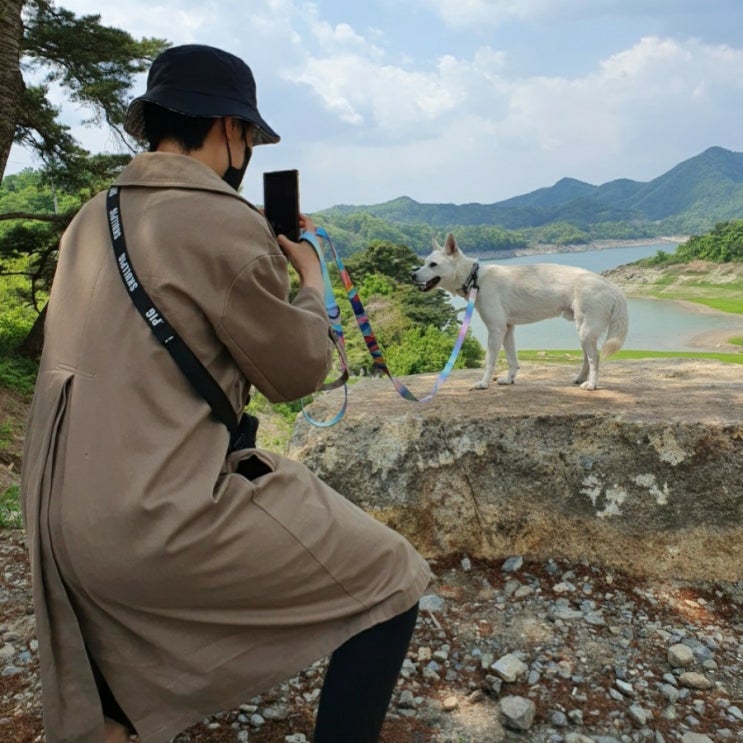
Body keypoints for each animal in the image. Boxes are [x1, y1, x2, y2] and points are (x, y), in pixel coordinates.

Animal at [412, 235, 628, 392]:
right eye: (424, 263)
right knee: (587, 359)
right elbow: (512, 359)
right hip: (583, 331)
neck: (474, 277)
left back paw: (592, 384)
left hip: (585, 330)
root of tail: (611, 285)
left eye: (433, 264)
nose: (412, 274)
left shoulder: (496, 330)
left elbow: (490, 361)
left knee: (595, 359)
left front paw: (484, 383)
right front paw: (509, 379)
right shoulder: (507, 329)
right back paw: (580, 378)